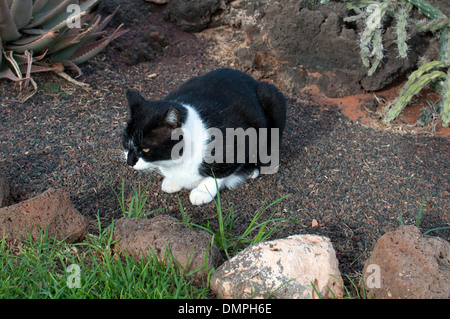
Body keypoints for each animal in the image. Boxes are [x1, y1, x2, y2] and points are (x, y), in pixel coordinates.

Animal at [121, 68, 286, 206]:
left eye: (146, 149)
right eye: (125, 143)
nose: (129, 162)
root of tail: (253, 79)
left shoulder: (240, 137)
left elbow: (221, 171)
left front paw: (202, 191)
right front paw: (173, 181)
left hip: (272, 96)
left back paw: (252, 169)